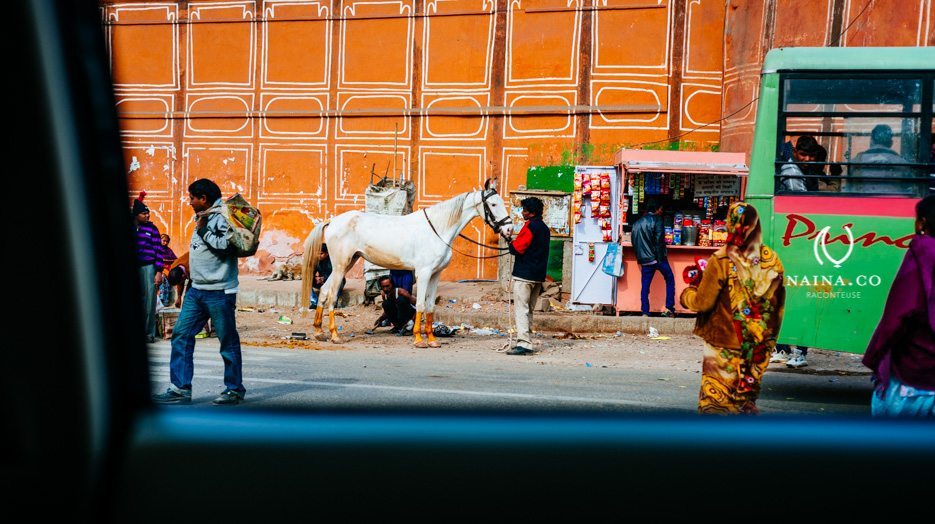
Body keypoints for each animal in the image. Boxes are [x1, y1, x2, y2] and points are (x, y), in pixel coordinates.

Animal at [302, 180, 512, 348]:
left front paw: (432, 340)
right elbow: (420, 304)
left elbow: (430, 306)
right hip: (340, 265)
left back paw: (319, 332)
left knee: (323, 291)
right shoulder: (424, 273)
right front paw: (419, 339)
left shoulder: (435, 275)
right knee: (331, 296)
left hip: (344, 265)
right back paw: (335, 335)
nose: (509, 229)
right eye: (493, 204)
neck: (438, 229)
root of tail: (332, 221)